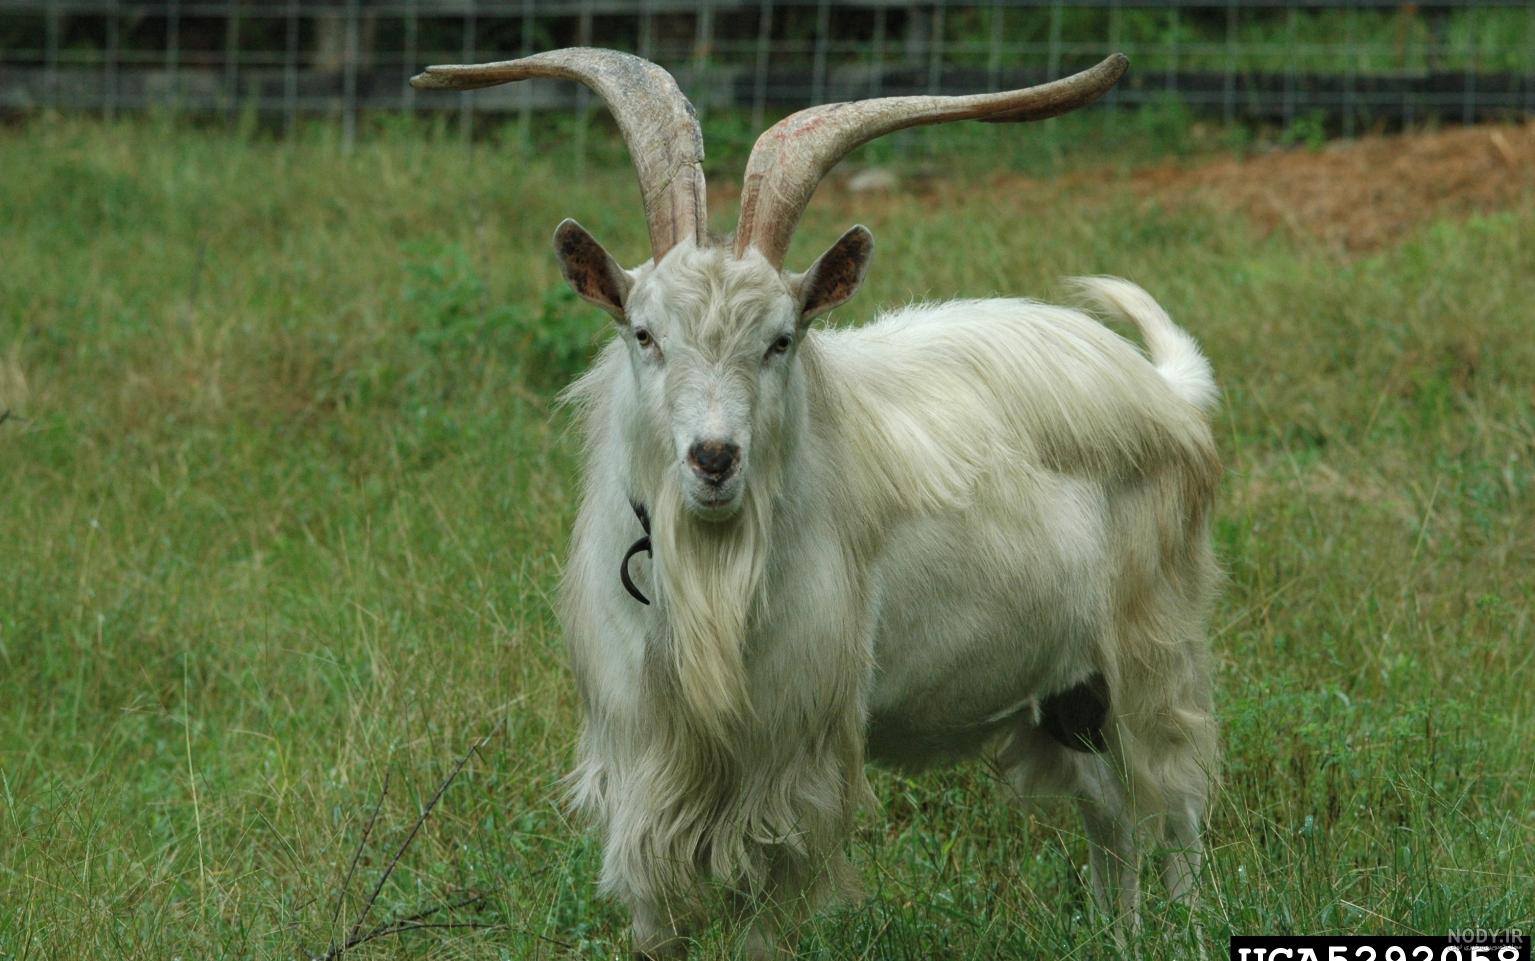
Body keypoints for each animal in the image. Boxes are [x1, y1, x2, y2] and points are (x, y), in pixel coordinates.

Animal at [413, 49, 1221, 959]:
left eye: (780, 340)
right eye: (643, 333)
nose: (714, 458)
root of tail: (1164, 392)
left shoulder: (786, 763)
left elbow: (764, 917)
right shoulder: (644, 757)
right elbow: (656, 917)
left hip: (1153, 641)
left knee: (1176, 798)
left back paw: (1186, 924)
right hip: (1056, 693)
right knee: (1107, 807)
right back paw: (1117, 932)